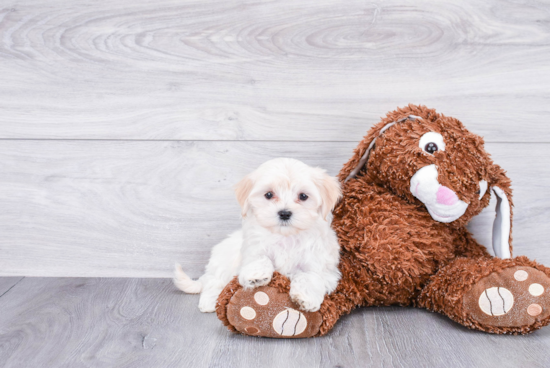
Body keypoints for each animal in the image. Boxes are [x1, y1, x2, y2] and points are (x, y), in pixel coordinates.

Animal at [175, 158, 342, 314]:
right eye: (268, 194)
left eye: (303, 196)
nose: (284, 213)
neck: (286, 237)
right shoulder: (252, 248)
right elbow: (260, 257)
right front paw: (256, 275)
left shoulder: (321, 264)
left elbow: (310, 275)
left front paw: (305, 298)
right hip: (222, 263)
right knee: (214, 282)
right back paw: (210, 302)